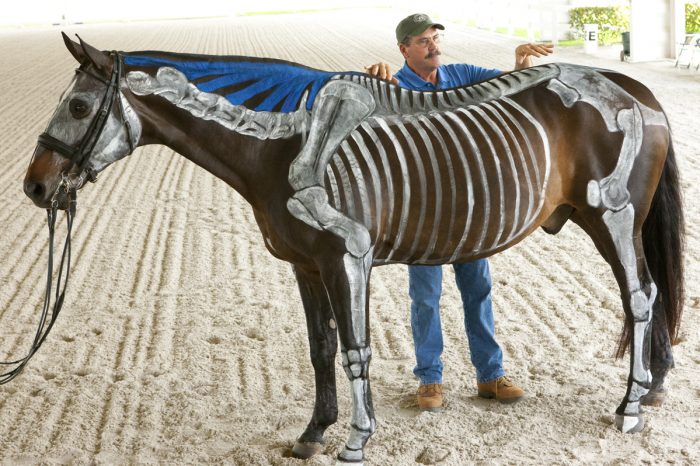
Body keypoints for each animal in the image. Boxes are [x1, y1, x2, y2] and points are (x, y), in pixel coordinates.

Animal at [21, 34, 684, 463]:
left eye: (79, 105)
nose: (35, 187)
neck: (283, 141)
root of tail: (632, 89)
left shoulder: (349, 257)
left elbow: (355, 350)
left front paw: (358, 439)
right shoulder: (305, 265)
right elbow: (320, 348)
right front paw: (313, 433)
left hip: (614, 218)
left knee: (641, 296)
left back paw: (629, 407)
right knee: (650, 296)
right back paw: (651, 388)